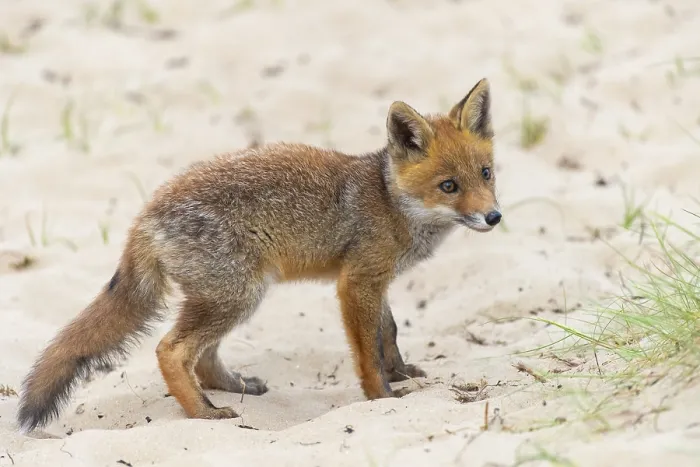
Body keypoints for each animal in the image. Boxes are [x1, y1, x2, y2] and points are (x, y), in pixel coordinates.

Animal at [16, 78, 501, 433]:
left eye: (485, 173)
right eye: (448, 186)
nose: (494, 217)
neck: (389, 201)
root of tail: (146, 213)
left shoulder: (374, 280)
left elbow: (390, 333)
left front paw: (401, 373)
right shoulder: (357, 281)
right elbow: (368, 352)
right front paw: (381, 397)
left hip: (230, 296)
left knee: (203, 357)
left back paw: (230, 389)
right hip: (237, 295)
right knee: (171, 350)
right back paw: (204, 414)